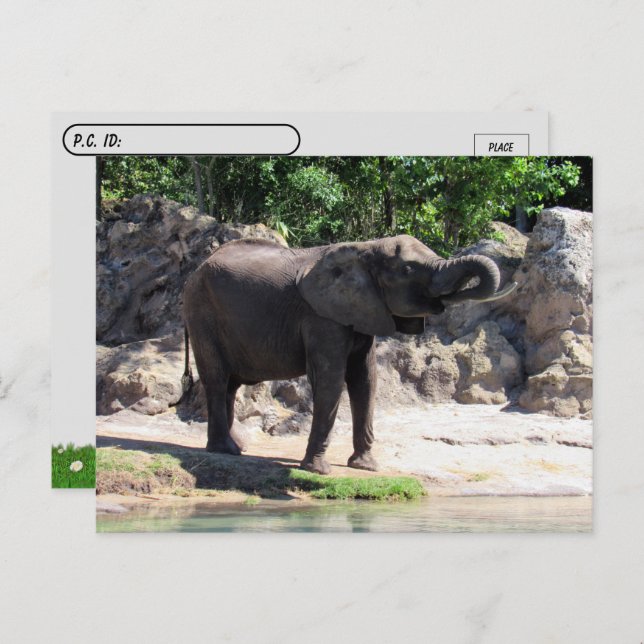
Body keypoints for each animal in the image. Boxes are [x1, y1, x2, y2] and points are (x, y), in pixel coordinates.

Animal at [182, 234, 516, 475]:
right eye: (408, 270)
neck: (366, 248)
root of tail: (195, 271)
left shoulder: (362, 310)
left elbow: (365, 380)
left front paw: (366, 467)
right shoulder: (322, 317)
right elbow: (331, 380)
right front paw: (318, 470)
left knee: (230, 384)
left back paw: (236, 448)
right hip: (201, 313)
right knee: (217, 379)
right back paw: (225, 450)